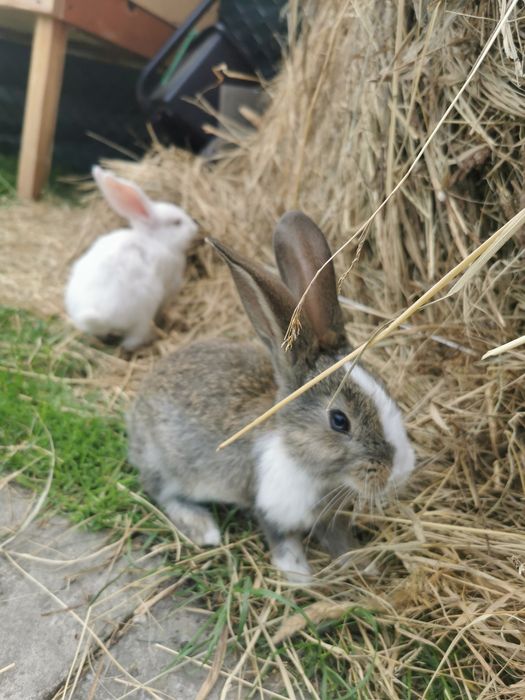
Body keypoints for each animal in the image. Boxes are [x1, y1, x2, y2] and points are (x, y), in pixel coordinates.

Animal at [64, 165, 199, 350]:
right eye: (177, 222)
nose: (195, 227)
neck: (155, 240)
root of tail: (101, 315)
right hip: (144, 311)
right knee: (132, 341)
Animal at [127, 211, 414, 584]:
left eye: (384, 387)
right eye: (339, 420)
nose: (402, 469)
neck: (304, 462)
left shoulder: (328, 516)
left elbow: (340, 539)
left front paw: (362, 563)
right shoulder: (268, 505)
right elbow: (282, 540)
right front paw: (299, 576)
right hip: (166, 466)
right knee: (161, 493)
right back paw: (204, 529)